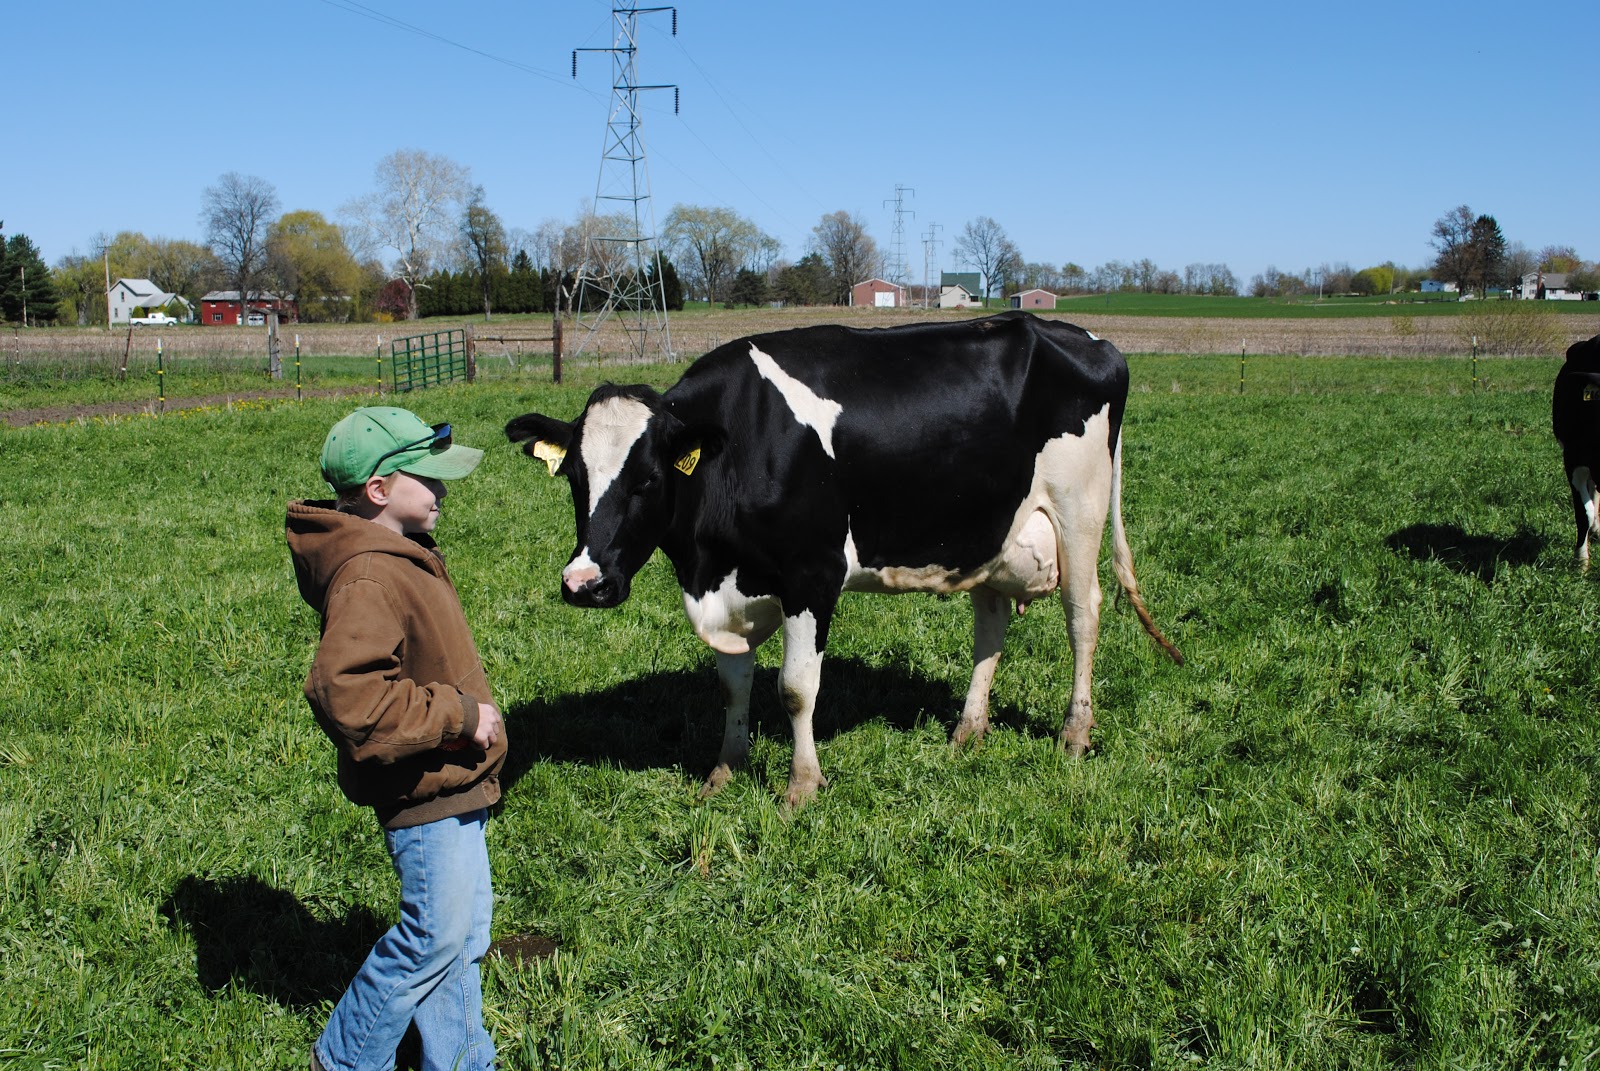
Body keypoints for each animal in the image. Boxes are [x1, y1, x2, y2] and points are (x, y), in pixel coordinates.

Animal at [506, 311, 1182, 806]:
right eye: (573, 478)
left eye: (647, 479)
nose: (583, 582)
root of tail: (1087, 338)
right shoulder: (728, 589)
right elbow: (733, 685)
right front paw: (725, 769)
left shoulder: (812, 575)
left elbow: (796, 688)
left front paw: (801, 787)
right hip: (993, 532)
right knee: (990, 625)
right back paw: (968, 730)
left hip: (1079, 507)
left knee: (1083, 615)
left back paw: (1074, 734)